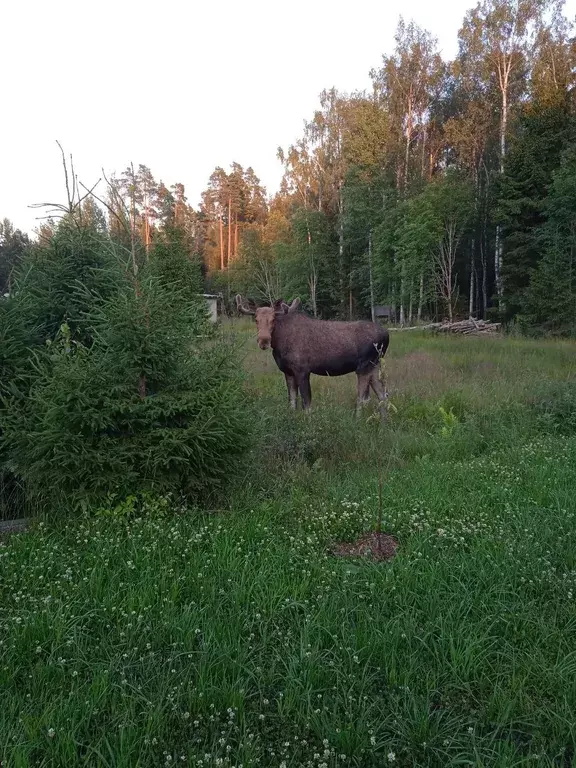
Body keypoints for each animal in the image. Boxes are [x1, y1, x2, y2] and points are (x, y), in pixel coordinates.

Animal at [235, 296, 392, 416]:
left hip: (364, 366)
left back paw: (357, 420)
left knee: (362, 398)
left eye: (273, 319)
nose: (264, 341)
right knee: (382, 395)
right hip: (374, 365)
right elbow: (292, 401)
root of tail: (386, 335)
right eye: (256, 319)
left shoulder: (303, 369)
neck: (279, 344)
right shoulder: (288, 371)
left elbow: (307, 403)